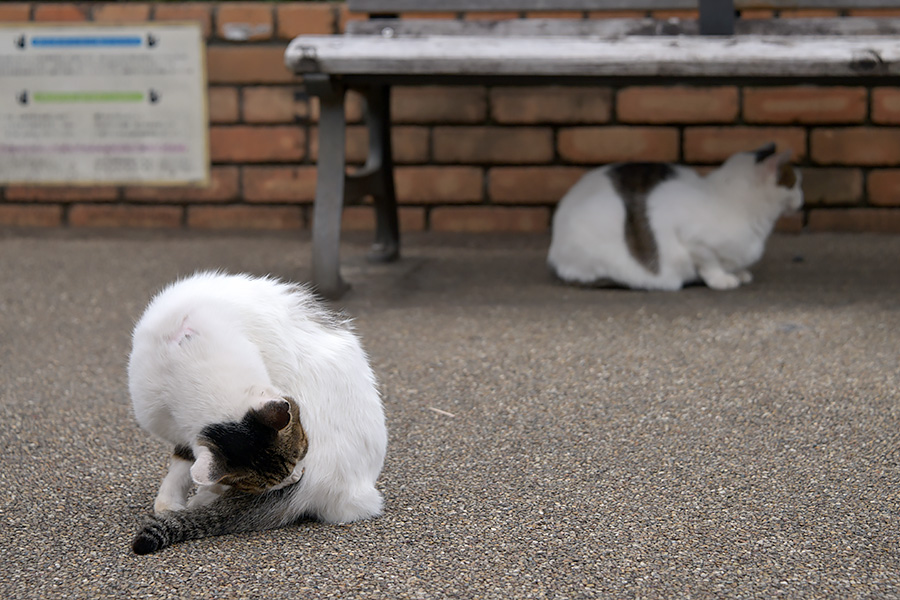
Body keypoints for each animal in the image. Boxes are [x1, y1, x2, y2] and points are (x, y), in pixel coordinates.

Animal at [544, 143, 804, 288]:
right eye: (794, 183)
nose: (802, 201)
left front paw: (737, 273)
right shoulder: (693, 238)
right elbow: (709, 262)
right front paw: (721, 279)